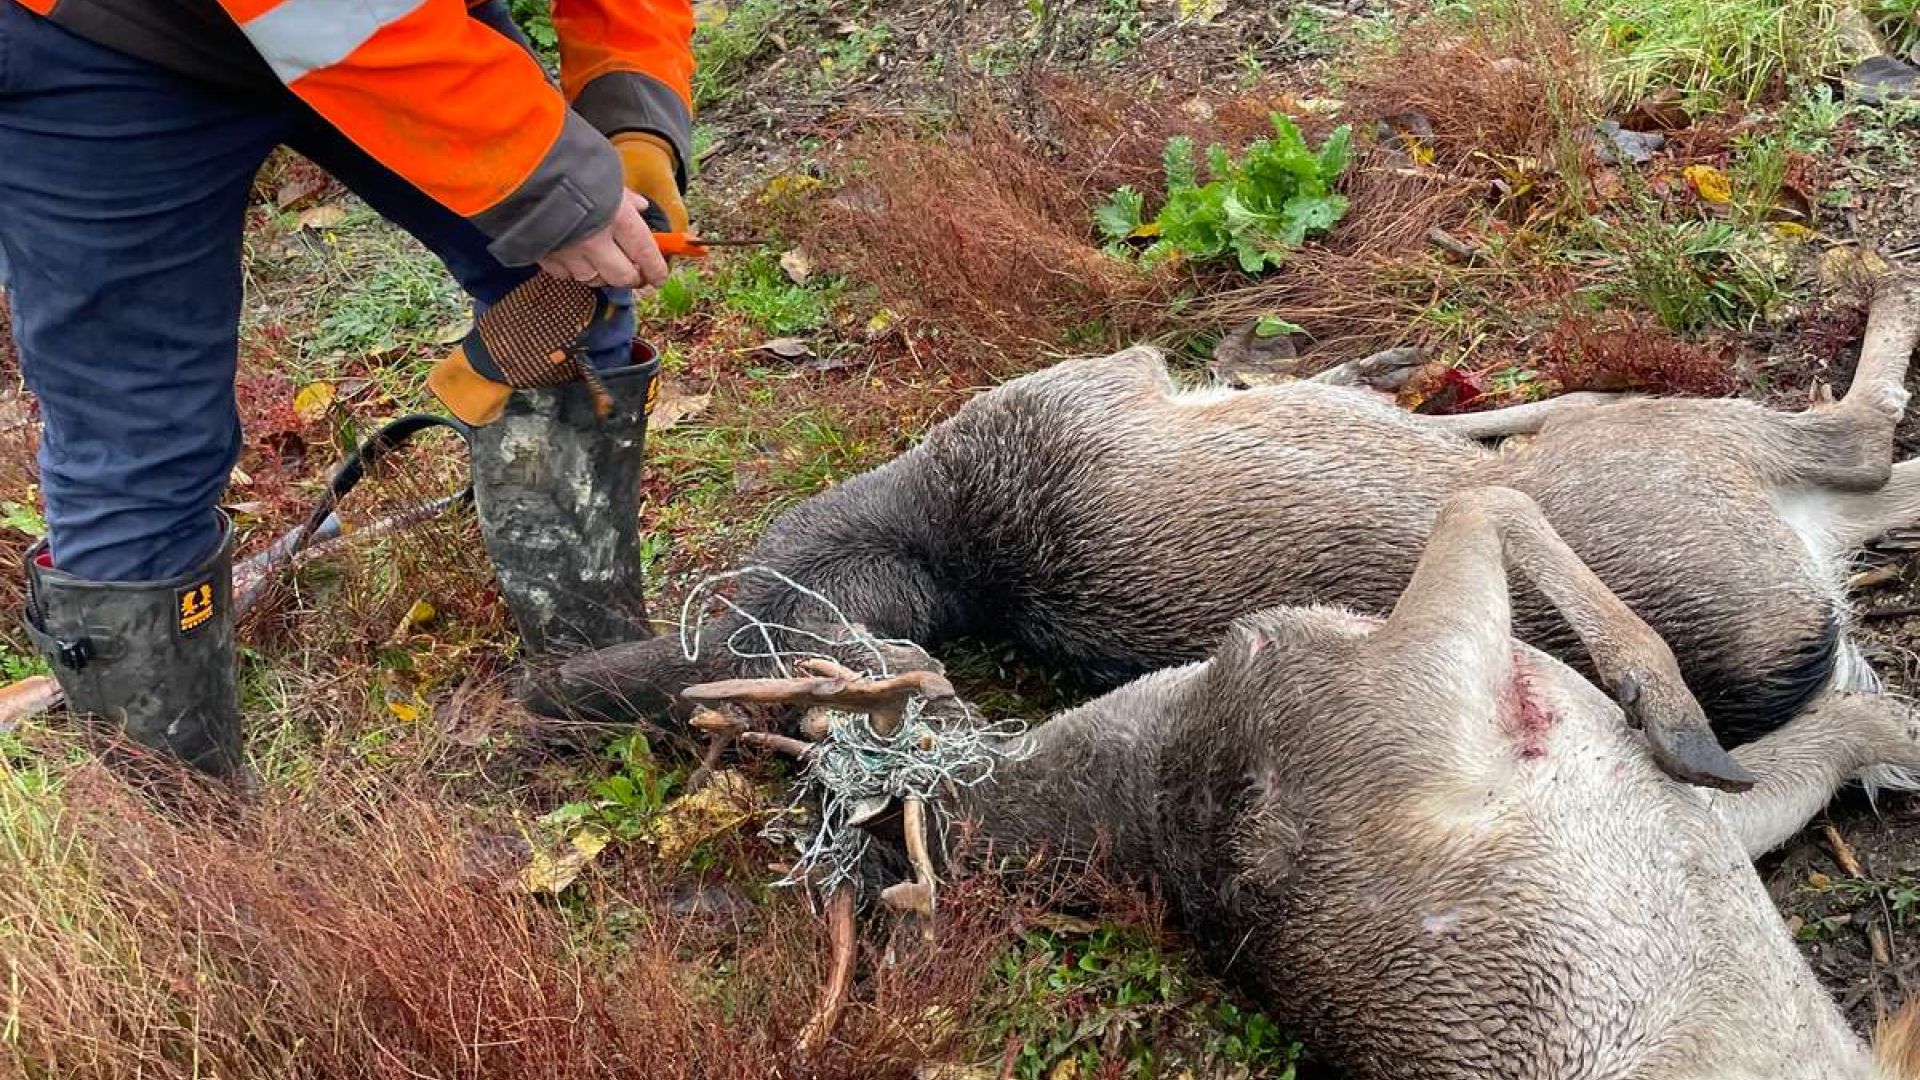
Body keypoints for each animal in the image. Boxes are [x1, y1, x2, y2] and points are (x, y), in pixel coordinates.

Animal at [529, 272, 1920, 776]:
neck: (954, 549)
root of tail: (1793, 653)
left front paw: (1365, 367)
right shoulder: (1118, 374)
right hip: (1684, 450)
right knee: (1850, 438)